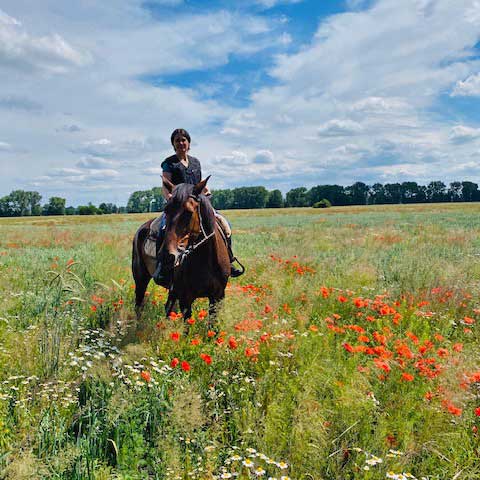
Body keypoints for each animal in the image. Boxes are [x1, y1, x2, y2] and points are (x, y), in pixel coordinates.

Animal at [130, 177, 230, 322]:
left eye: (188, 212)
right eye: (166, 210)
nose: (167, 256)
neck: (204, 260)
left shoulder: (217, 297)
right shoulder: (185, 299)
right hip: (140, 279)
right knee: (138, 304)